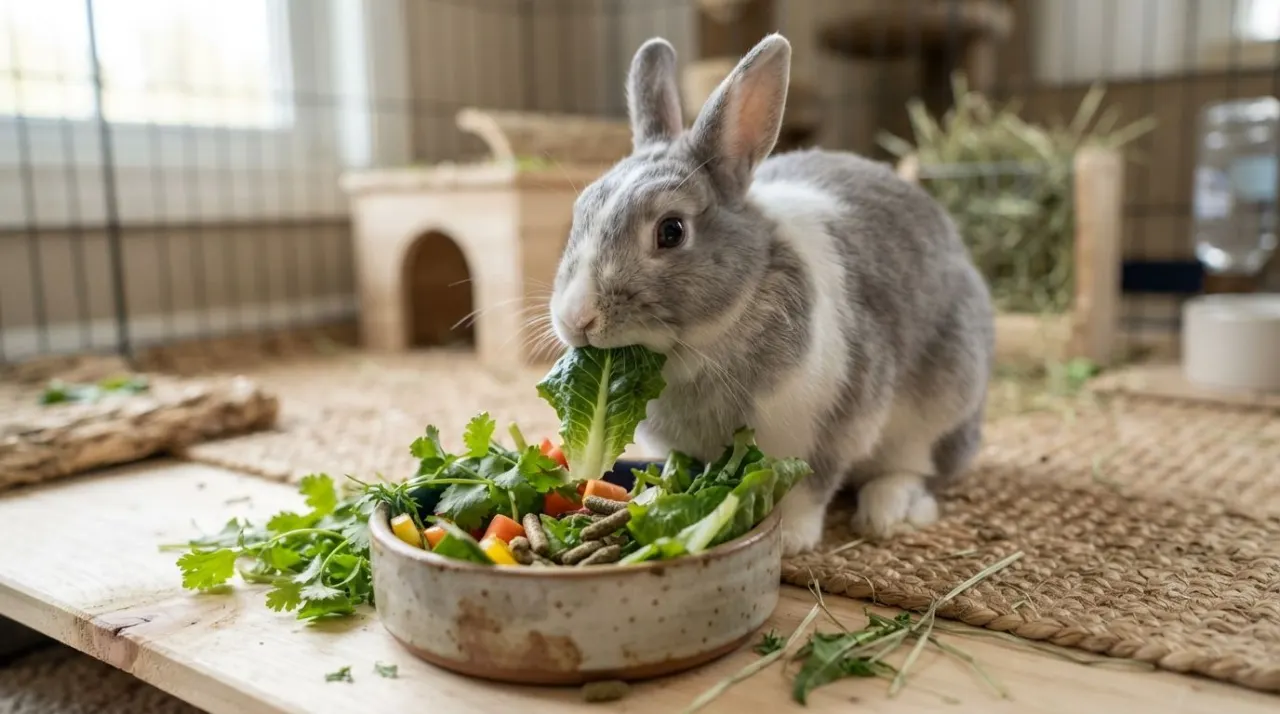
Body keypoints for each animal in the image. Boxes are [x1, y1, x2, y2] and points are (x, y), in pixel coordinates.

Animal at [547, 33, 994, 556]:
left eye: (671, 231)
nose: (577, 319)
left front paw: (793, 541)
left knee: (916, 470)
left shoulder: (828, 429)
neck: (700, 346)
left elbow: (809, 488)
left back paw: (886, 512)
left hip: (939, 407)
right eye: (580, 211)